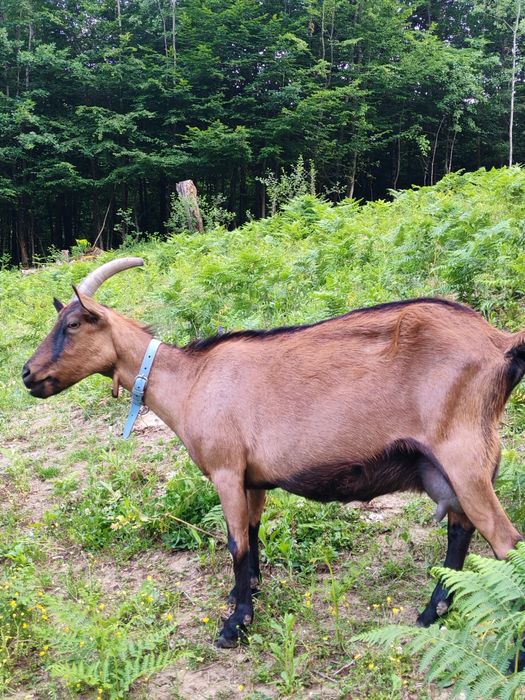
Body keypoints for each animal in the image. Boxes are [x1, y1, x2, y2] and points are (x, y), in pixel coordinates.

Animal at [22, 257, 525, 652]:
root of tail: (500, 344)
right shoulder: (253, 477)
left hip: (465, 458)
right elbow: (253, 530)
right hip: (446, 470)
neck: (191, 380)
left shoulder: (226, 469)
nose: (28, 374)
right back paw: (430, 614)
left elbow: (235, 542)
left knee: (507, 543)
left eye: (71, 324)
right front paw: (246, 594)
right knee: (461, 533)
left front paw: (235, 625)